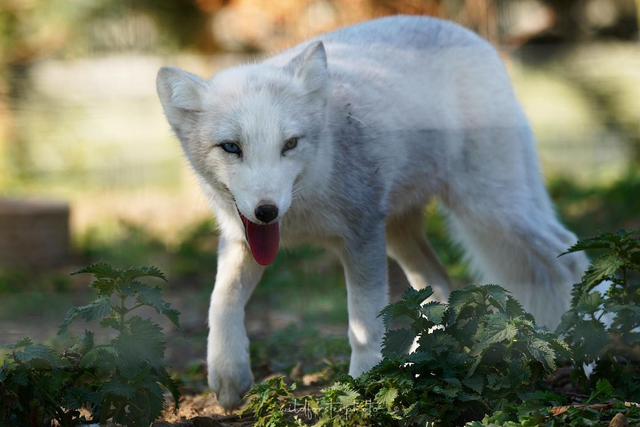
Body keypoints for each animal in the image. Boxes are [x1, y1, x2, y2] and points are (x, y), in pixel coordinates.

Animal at [156, 15, 589, 410]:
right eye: (231, 147)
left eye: (290, 144)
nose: (267, 211)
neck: (303, 208)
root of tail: (473, 38)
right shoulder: (241, 238)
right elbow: (220, 302)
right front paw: (228, 376)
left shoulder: (361, 235)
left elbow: (363, 322)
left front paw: (364, 384)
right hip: (401, 232)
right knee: (439, 284)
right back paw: (418, 369)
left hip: (491, 209)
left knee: (570, 253)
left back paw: (587, 351)